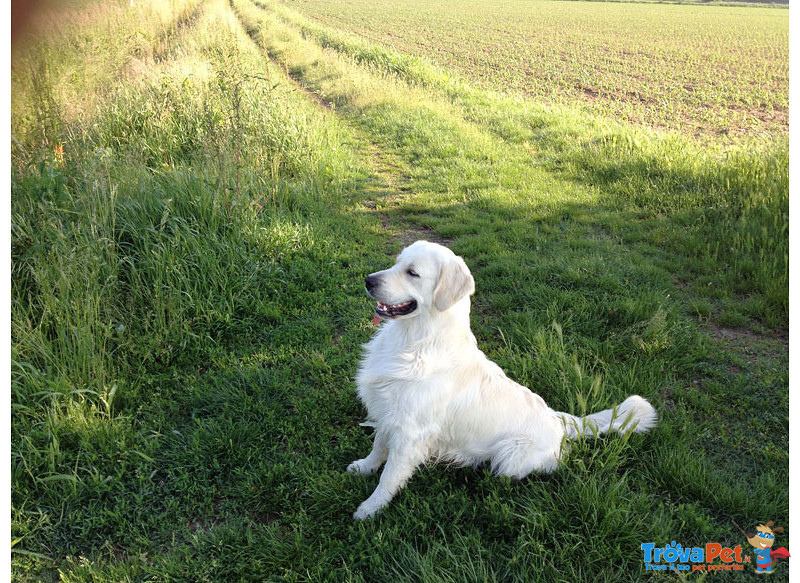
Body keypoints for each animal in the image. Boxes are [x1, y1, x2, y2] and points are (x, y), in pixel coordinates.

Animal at [348, 242, 656, 520]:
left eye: (412, 272)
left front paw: (370, 509)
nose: (368, 280)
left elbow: (390, 475)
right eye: (397, 262)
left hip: (510, 456)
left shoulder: (410, 431)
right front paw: (364, 467)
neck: (416, 339)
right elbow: (378, 447)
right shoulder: (388, 412)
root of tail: (558, 419)